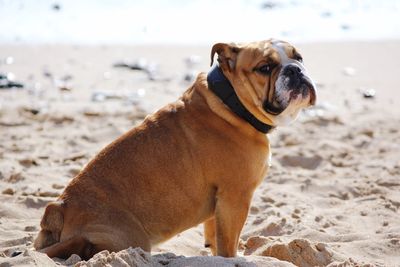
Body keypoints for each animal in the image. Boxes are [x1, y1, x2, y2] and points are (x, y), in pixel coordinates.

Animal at [33, 38, 316, 260]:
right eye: (264, 68)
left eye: (299, 57)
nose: (295, 70)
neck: (231, 103)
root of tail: (59, 208)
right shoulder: (236, 197)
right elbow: (229, 244)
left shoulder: (220, 203)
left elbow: (216, 239)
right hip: (128, 237)